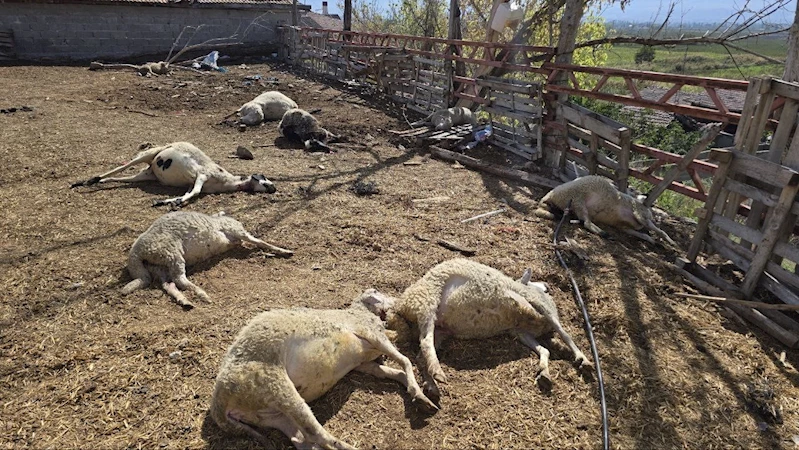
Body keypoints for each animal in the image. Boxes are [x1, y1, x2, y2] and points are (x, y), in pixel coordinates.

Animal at [69, 142, 282, 208]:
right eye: (264, 180)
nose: (274, 188)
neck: (227, 181)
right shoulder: (201, 176)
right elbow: (195, 193)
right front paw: (173, 203)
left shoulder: (192, 183)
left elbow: (188, 193)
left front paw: (166, 202)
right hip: (148, 155)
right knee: (122, 167)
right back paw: (87, 181)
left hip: (146, 175)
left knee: (121, 178)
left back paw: (85, 182)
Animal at [122, 212, 290, 310]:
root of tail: (136, 255)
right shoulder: (237, 231)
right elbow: (259, 241)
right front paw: (284, 251)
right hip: (172, 253)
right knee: (179, 279)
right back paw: (202, 294)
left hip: (159, 265)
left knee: (168, 284)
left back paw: (185, 301)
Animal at [211, 288, 438, 450]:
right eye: (377, 291)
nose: (398, 302)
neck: (359, 311)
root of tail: (219, 405)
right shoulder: (372, 333)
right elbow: (405, 361)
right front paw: (421, 396)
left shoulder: (363, 363)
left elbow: (394, 372)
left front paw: (419, 396)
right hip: (274, 386)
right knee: (317, 435)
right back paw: (352, 448)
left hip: (270, 415)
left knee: (302, 440)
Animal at [366, 258, 592, 402]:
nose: (547, 285)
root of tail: (402, 307)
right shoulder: (539, 306)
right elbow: (565, 333)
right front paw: (583, 359)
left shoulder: (519, 331)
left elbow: (545, 348)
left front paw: (545, 371)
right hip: (428, 299)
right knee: (425, 341)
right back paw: (437, 374)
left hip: (438, 326)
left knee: (423, 349)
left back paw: (431, 383)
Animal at [536, 175, 676, 246]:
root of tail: (548, 196)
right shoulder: (640, 215)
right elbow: (660, 231)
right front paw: (671, 242)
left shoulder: (624, 227)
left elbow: (644, 234)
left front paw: (653, 241)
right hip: (578, 199)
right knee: (586, 223)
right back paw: (605, 234)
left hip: (575, 204)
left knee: (583, 221)